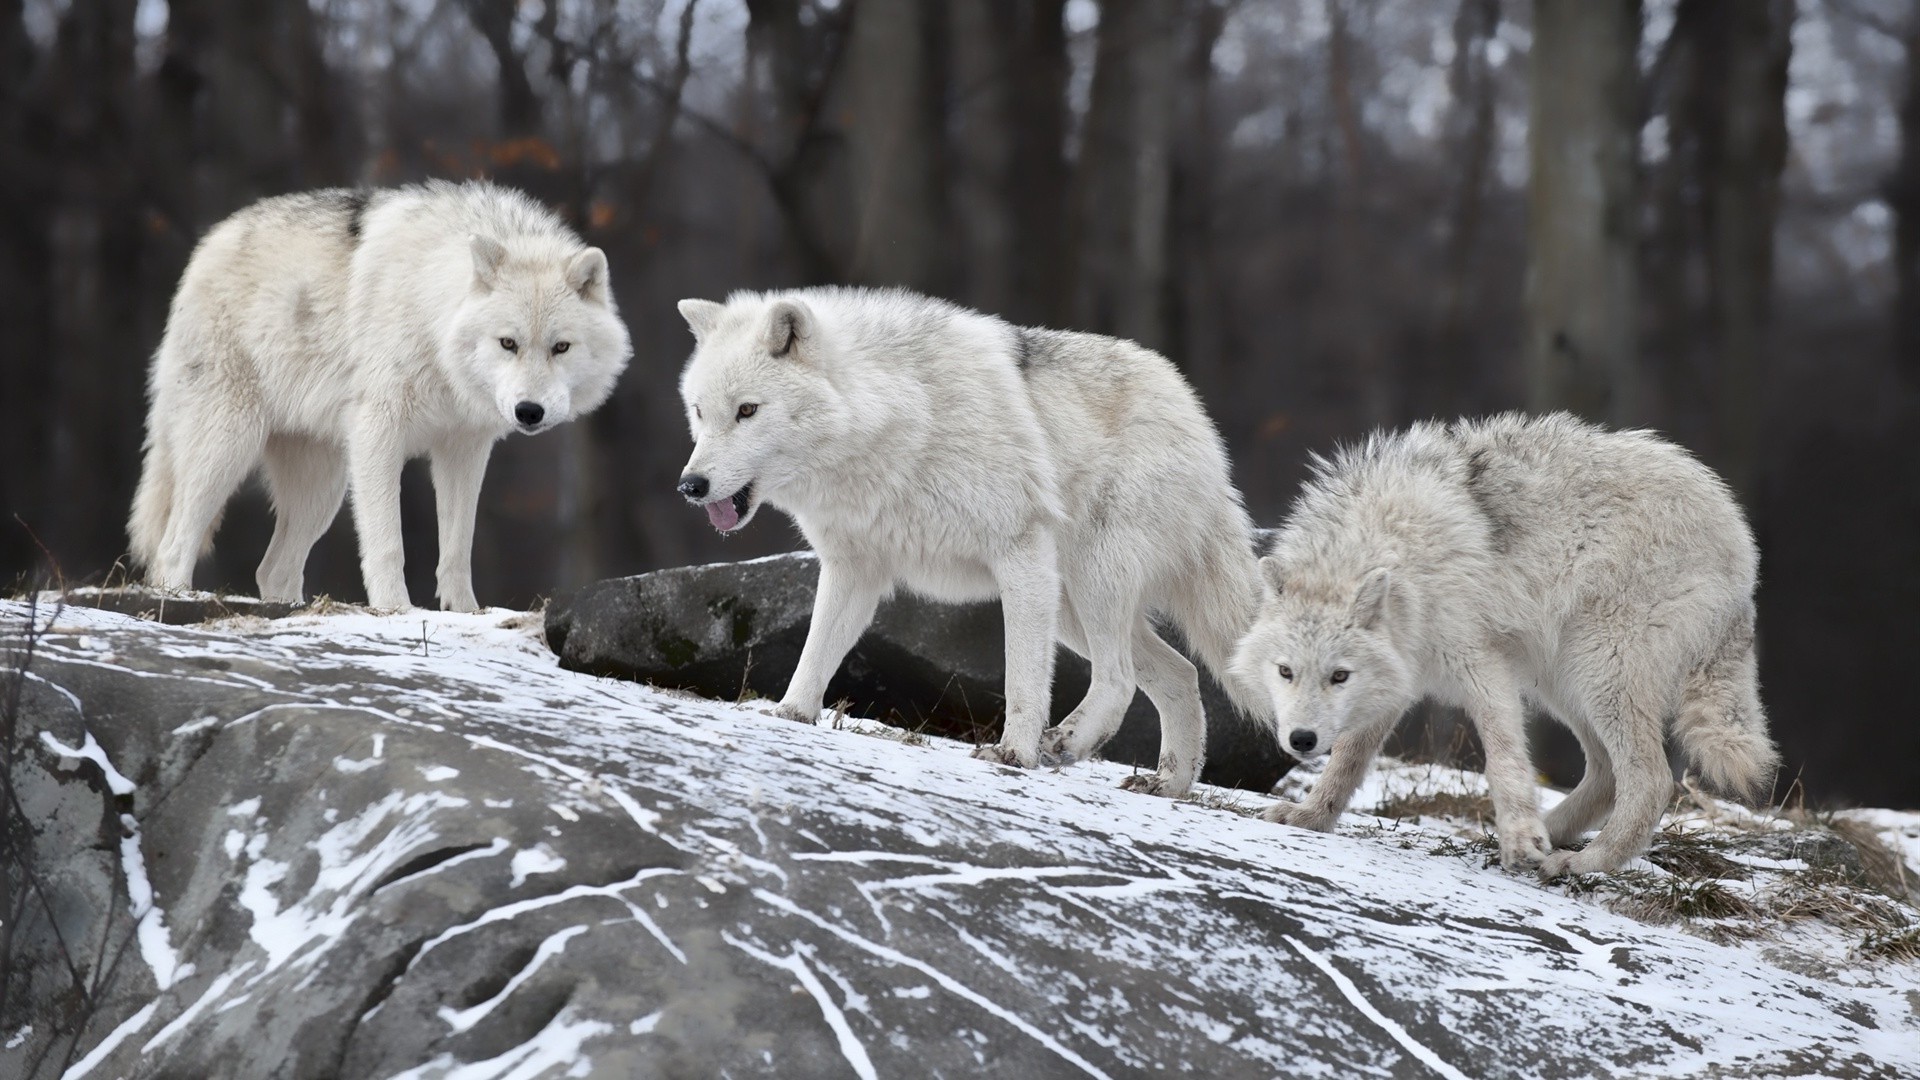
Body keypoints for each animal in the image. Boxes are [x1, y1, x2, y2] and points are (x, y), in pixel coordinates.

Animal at [129, 180, 637, 611]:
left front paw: (466, 613)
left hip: (323, 488)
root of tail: (207, 244)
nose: (529, 411)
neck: (432, 317)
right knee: (173, 545)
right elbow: (388, 543)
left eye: (560, 347)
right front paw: (395, 610)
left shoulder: (464, 449)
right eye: (508, 343)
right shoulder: (379, 434)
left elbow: (458, 548)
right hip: (230, 448)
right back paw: (176, 598)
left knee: (272, 569)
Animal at [1236, 411, 1774, 876]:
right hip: (1563, 681)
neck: (1401, 551)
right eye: (1285, 672)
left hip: (1597, 671)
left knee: (1651, 782)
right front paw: (1310, 817)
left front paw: (1520, 837)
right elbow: (1347, 762)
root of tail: (1741, 539)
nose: (1301, 740)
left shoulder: (1482, 665)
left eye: (1338, 675)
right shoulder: (1399, 679)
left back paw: (1582, 861)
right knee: (1605, 775)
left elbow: (1503, 759)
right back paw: (1547, 835)